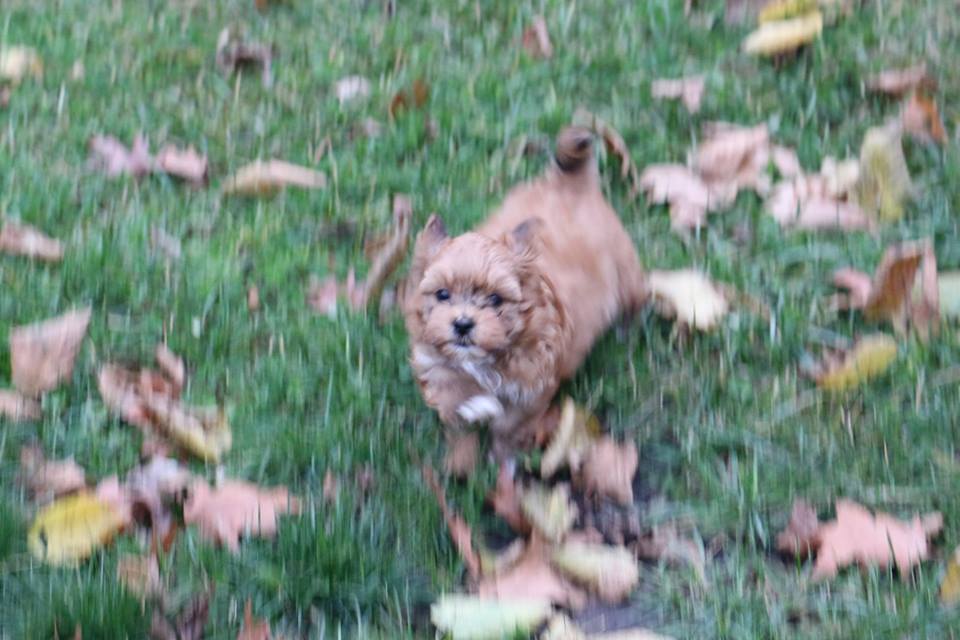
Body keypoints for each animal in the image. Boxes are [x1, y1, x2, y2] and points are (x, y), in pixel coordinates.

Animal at [402, 126, 648, 456]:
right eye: (442, 294)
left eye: (496, 299)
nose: (463, 324)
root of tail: (569, 184)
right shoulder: (436, 363)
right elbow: (453, 400)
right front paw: (468, 428)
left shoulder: (533, 389)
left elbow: (510, 425)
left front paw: (503, 452)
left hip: (626, 272)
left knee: (635, 299)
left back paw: (626, 328)